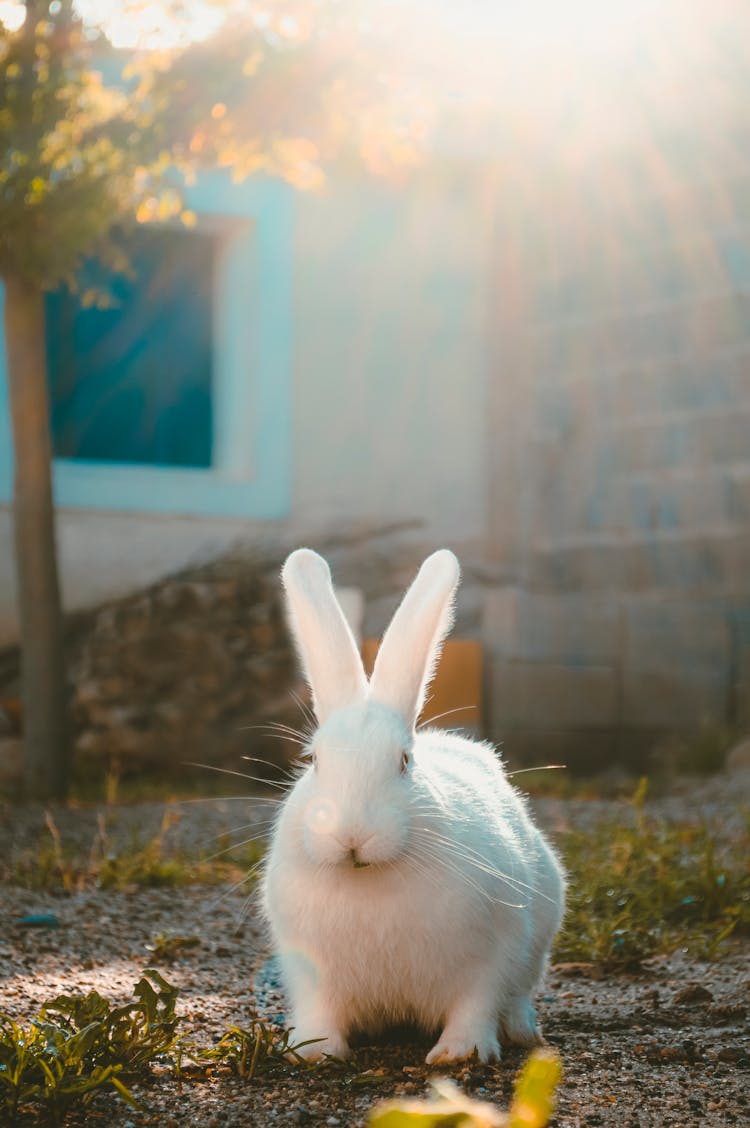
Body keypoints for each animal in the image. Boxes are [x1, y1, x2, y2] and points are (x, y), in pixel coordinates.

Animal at [260, 550, 563, 1060]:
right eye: (314, 760)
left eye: (403, 761)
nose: (352, 835)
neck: (369, 881)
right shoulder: (308, 970)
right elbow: (319, 1011)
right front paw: (313, 1051)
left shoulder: (492, 953)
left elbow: (476, 1004)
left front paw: (461, 1053)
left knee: (519, 994)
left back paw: (522, 1031)